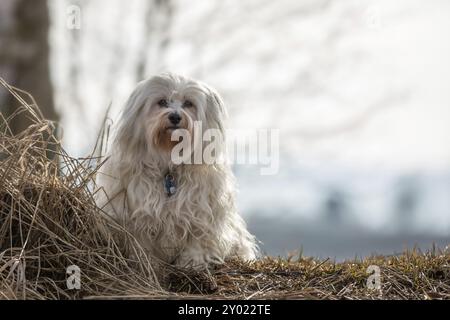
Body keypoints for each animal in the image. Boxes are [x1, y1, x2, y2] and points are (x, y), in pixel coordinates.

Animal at [96, 73, 258, 270]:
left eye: (188, 103)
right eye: (162, 101)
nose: (175, 116)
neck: (168, 163)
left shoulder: (201, 211)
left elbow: (197, 238)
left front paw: (192, 261)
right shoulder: (135, 212)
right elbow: (141, 241)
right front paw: (146, 262)